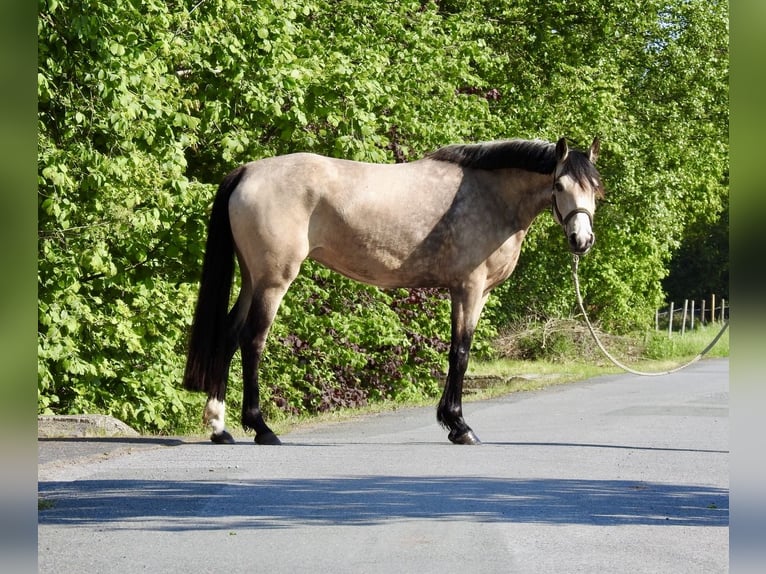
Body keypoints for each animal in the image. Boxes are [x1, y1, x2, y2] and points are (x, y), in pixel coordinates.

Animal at [183, 137, 603, 445]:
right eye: (559, 185)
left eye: (595, 189)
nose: (581, 240)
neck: (490, 195)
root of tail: (248, 171)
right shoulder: (468, 287)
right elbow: (461, 353)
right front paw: (459, 426)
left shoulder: (476, 292)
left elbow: (457, 353)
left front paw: (451, 421)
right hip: (272, 281)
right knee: (252, 340)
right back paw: (261, 428)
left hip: (251, 278)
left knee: (229, 335)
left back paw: (220, 428)